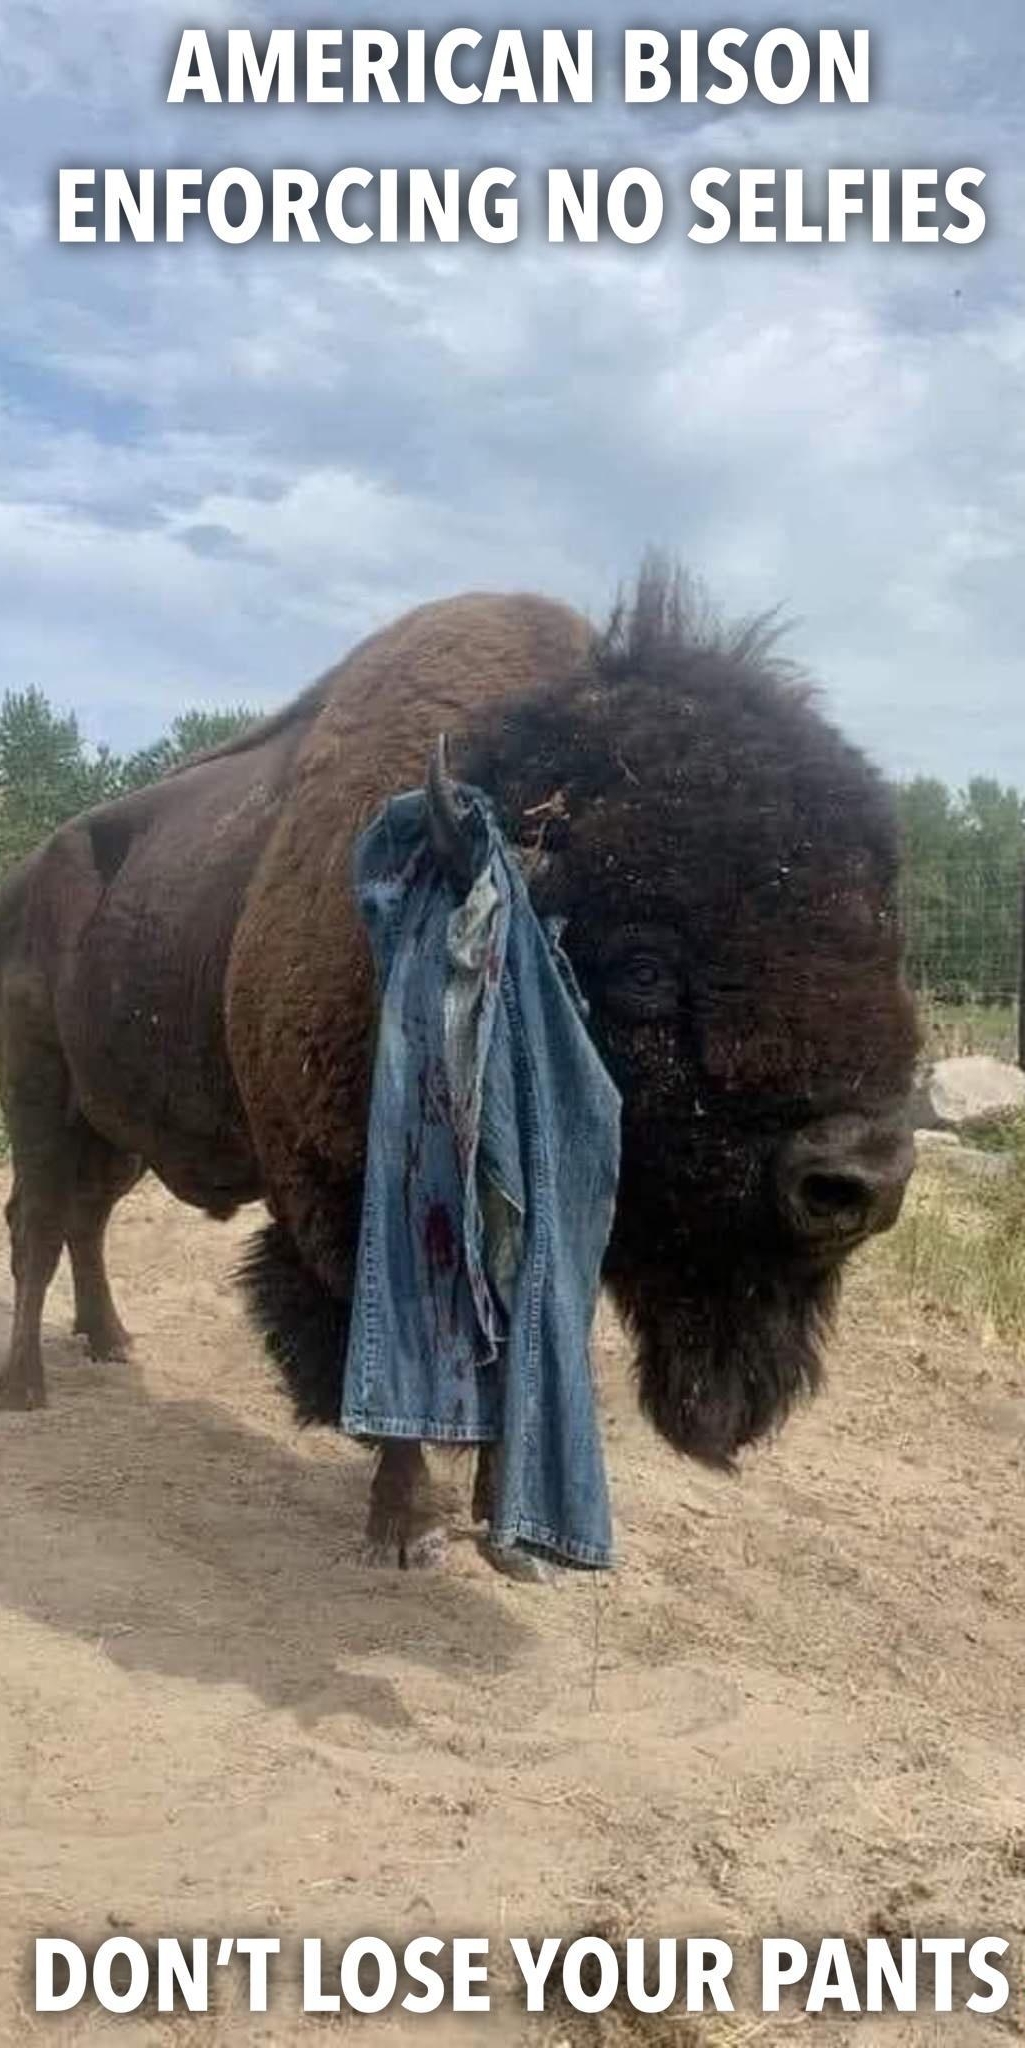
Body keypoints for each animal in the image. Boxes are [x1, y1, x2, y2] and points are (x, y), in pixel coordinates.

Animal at [0, 569, 922, 1556]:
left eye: (882, 936)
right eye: (642, 965)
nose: (859, 1182)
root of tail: (28, 873)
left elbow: (523, 1352)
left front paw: (501, 1519)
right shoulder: (360, 1204)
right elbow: (402, 1362)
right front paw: (404, 1527)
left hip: (115, 1127)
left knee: (83, 1222)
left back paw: (110, 1341)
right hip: (41, 1096)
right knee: (36, 1225)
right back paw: (29, 1389)